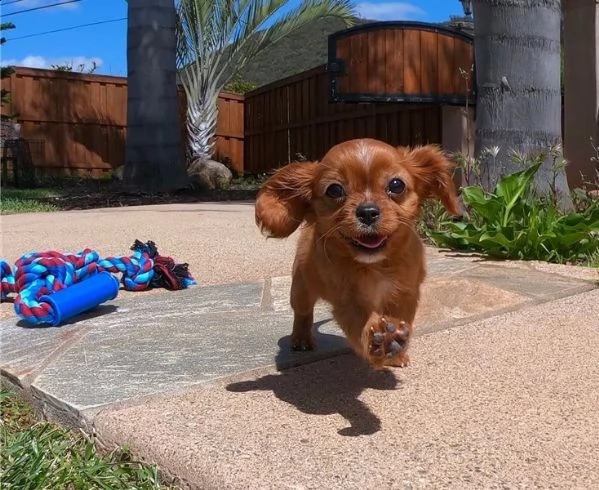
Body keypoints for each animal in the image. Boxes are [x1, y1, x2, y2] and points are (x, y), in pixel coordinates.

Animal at [254, 138, 460, 368]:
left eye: (396, 185)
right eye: (334, 190)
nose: (368, 212)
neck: (374, 265)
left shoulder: (405, 293)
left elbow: (401, 319)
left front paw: (396, 351)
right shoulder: (347, 299)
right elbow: (361, 320)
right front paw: (381, 342)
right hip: (300, 289)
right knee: (303, 312)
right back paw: (301, 338)